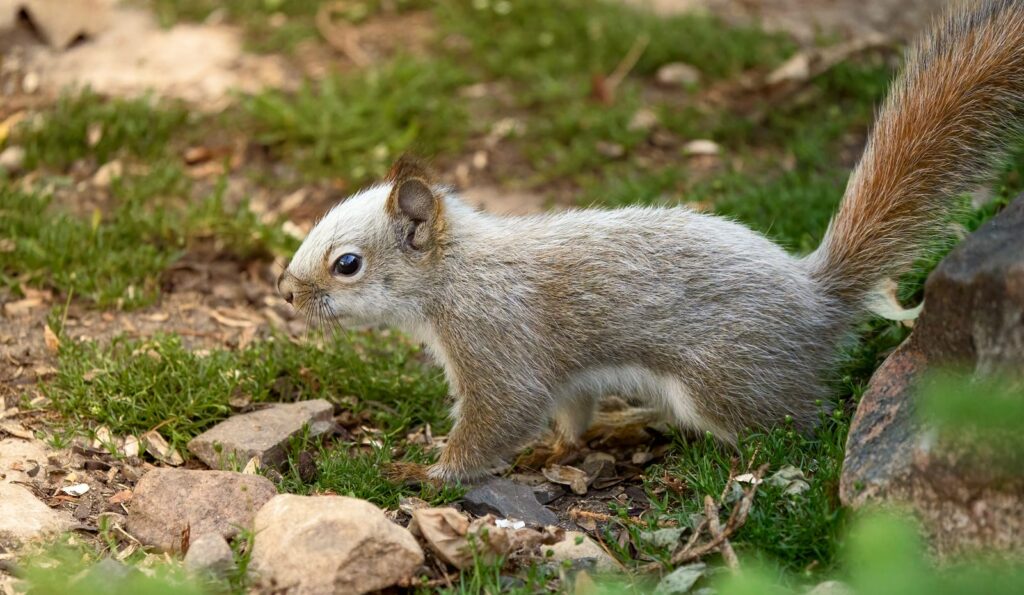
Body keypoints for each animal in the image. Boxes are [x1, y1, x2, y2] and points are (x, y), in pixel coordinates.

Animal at [278, 0, 1024, 482]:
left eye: (347, 264)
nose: (285, 292)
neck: (457, 274)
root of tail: (818, 299)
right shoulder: (556, 374)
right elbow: (568, 409)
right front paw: (560, 448)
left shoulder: (499, 343)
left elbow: (498, 417)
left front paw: (431, 471)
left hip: (728, 380)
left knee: (795, 424)